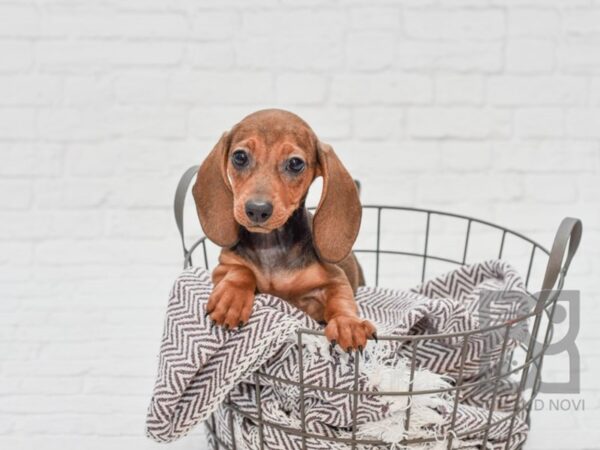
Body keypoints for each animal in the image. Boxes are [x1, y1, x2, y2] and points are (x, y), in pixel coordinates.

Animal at [195, 108, 378, 352]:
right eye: (240, 157)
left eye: (295, 163)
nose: (257, 210)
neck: (271, 245)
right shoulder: (223, 267)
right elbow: (242, 271)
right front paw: (231, 299)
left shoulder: (335, 277)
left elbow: (341, 299)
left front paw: (347, 323)